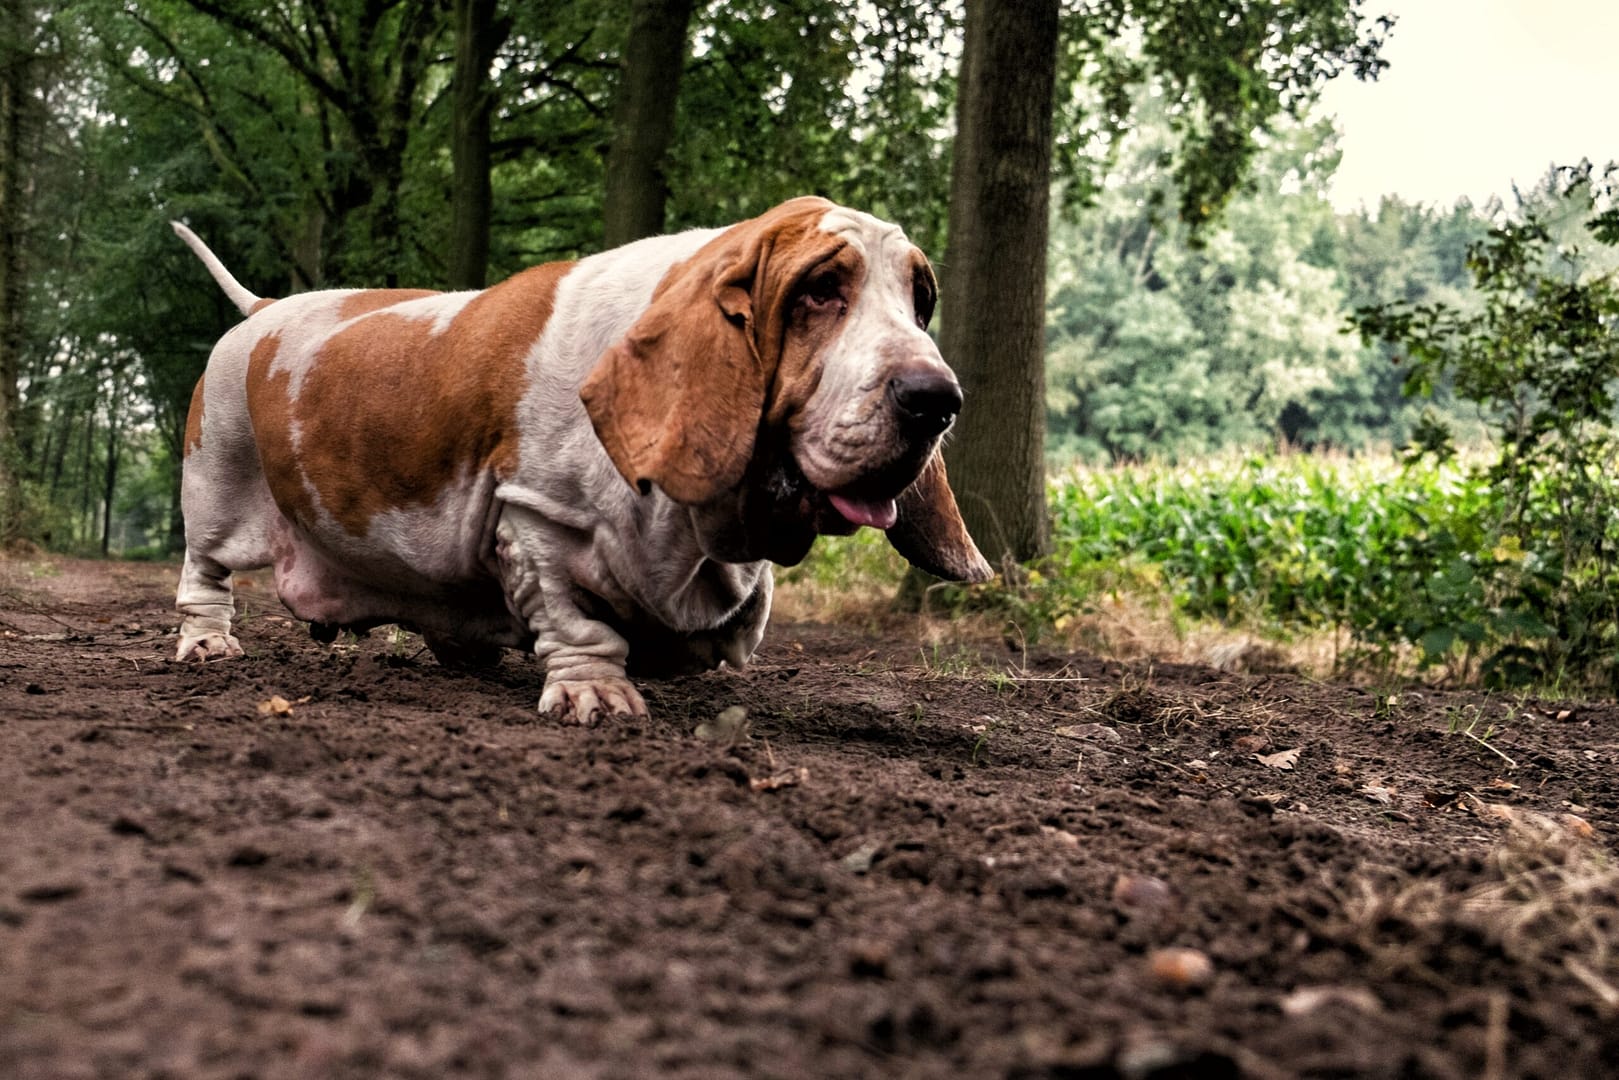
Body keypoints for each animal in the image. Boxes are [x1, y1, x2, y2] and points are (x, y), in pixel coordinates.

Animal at [174, 198, 984, 722]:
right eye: (820, 289)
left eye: (921, 300)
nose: (937, 400)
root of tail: (264, 310)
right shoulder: (535, 519)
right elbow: (576, 621)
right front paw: (596, 695)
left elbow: (741, 615)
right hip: (216, 481)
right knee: (203, 573)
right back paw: (207, 644)